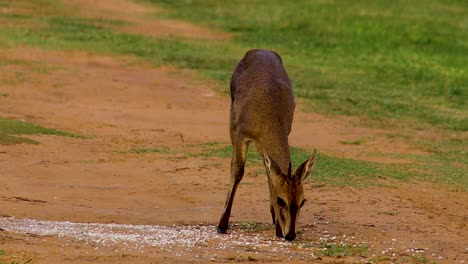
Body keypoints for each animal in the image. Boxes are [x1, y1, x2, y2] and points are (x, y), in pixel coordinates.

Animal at [217, 49, 318, 241]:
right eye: (281, 200)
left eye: (303, 201)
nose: (290, 235)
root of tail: (257, 50)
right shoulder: (239, 133)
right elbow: (238, 171)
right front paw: (222, 225)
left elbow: (271, 175)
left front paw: (277, 227)